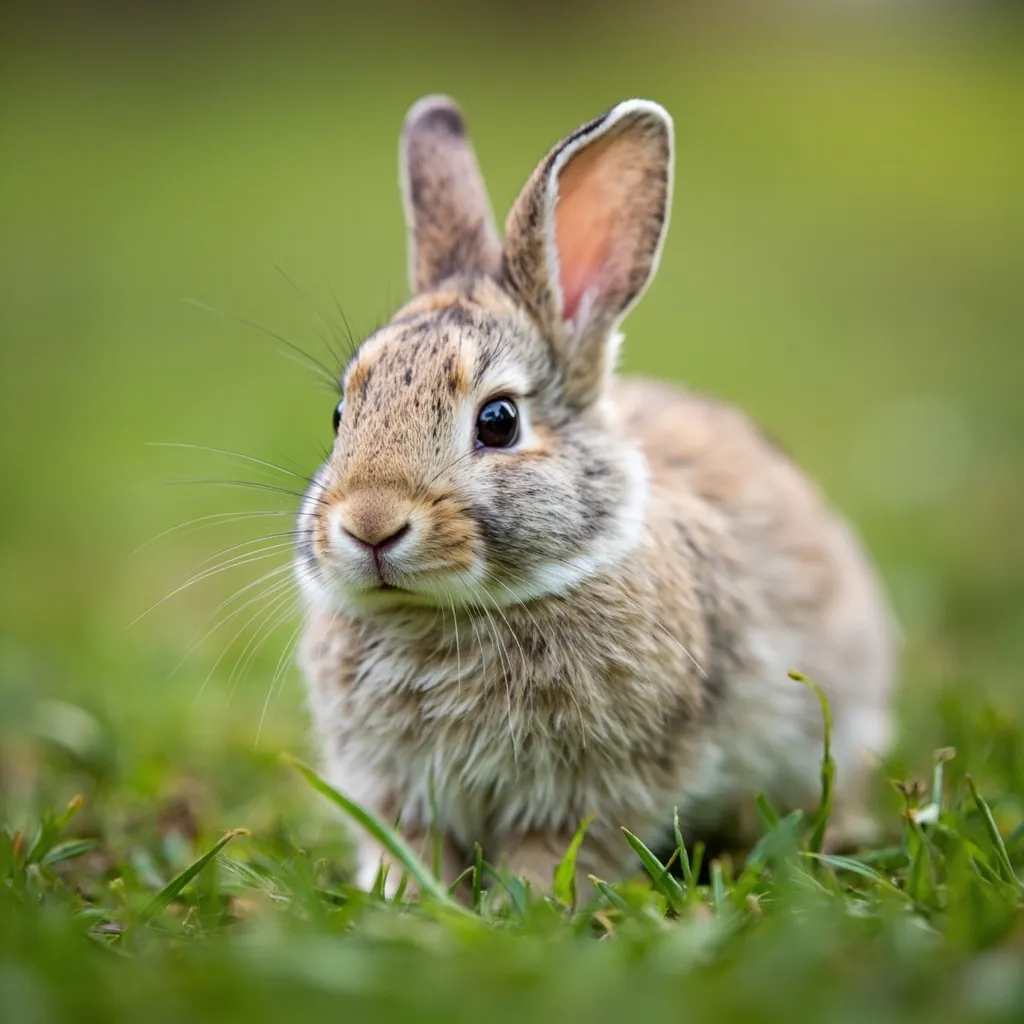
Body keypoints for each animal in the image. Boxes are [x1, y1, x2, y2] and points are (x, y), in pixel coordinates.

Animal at [295, 95, 896, 899]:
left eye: (499, 421)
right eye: (340, 415)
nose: (370, 525)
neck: (447, 616)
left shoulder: (595, 791)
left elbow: (556, 852)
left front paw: (526, 905)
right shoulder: (397, 793)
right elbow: (411, 850)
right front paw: (407, 900)